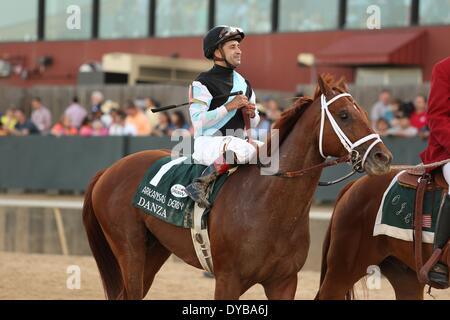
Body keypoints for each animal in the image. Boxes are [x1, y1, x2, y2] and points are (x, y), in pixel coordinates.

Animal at [83, 75, 390, 300]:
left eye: (364, 112)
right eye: (344, 115)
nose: (383, 157)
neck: (268, 205)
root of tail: (109, 170)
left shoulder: (284, 281)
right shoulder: (228, 279)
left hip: (155, 248)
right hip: (129, 248)